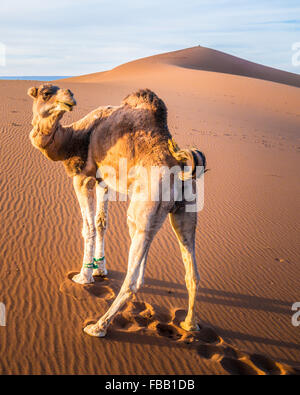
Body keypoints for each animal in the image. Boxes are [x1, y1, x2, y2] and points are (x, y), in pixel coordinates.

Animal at [27, 85, 206, 338]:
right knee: (192, 273)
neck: (76, 136)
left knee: (133, 279)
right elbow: (101, 222)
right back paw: (190, 324)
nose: (69, 98)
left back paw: (98, 326)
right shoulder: (104, 180)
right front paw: (100, 269)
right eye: (45, 92)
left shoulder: (83, 177)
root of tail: (180, 169)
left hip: (143, 212)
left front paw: (84, 276)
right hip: (185, 211)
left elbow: (88, 227)